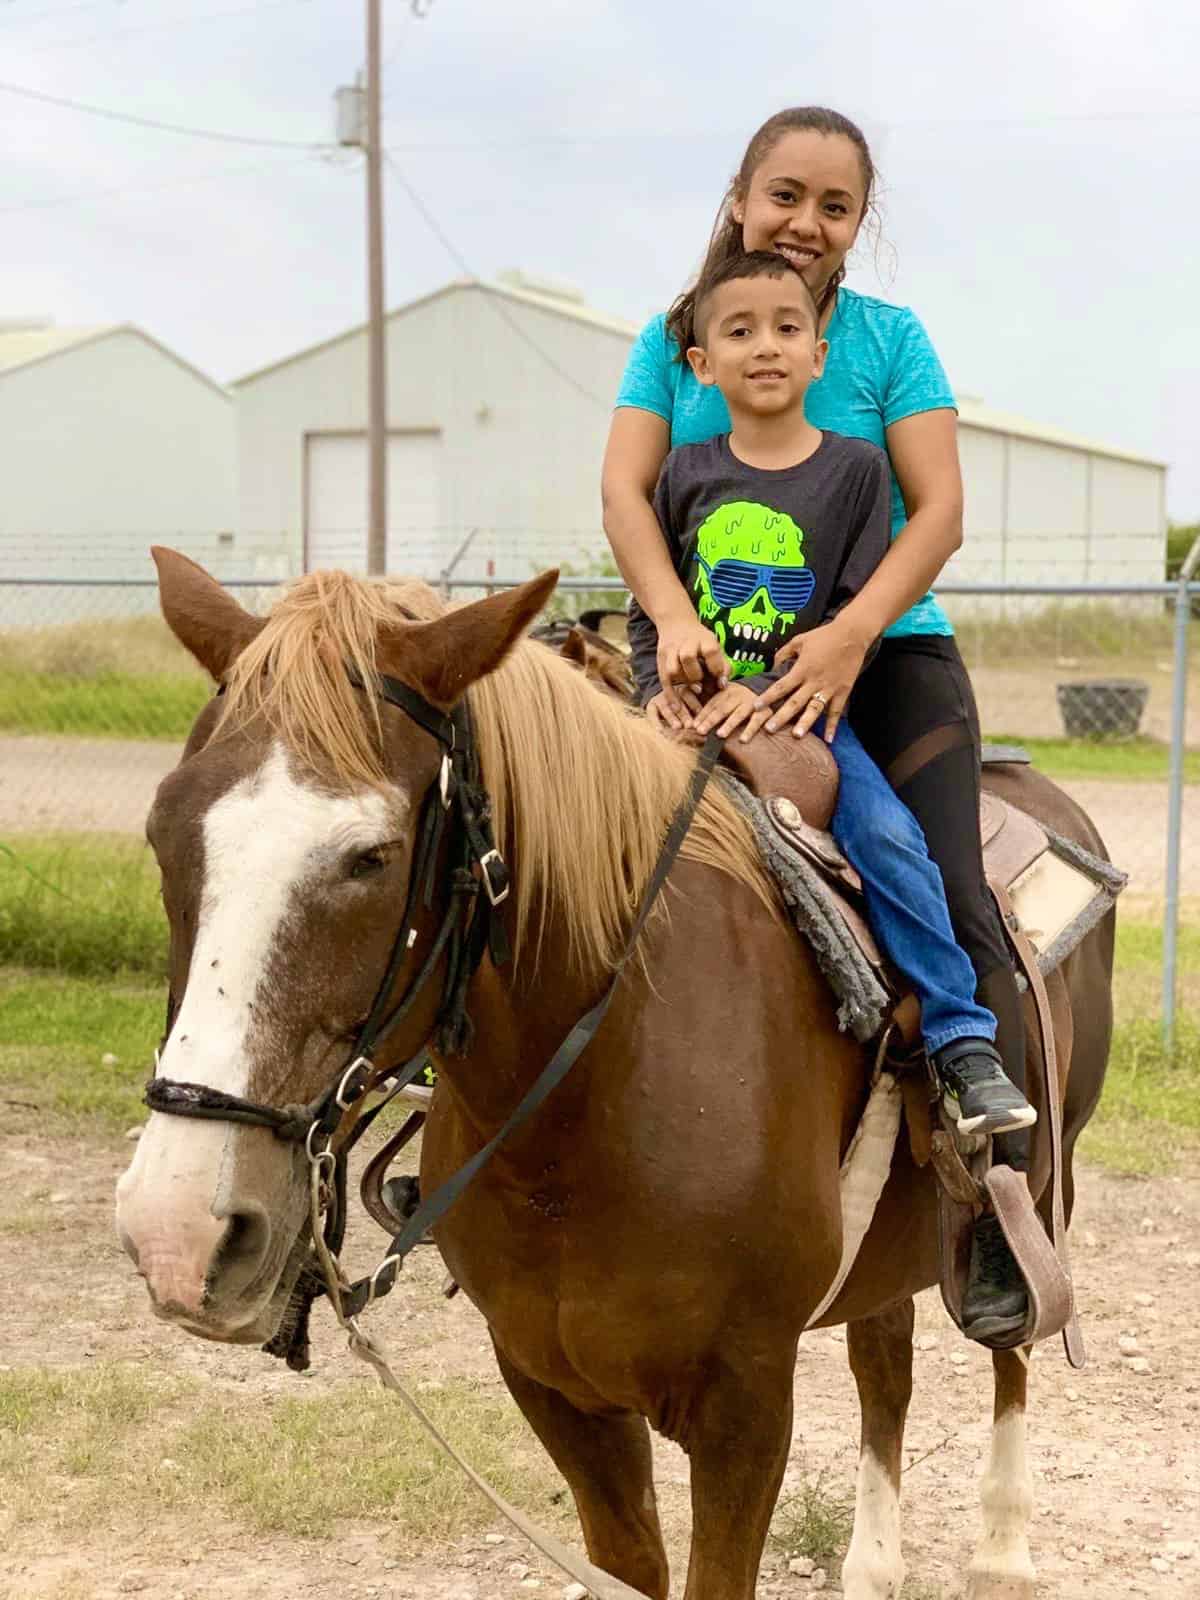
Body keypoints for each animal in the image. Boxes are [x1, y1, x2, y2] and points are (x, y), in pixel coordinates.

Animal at [117, 553, 1113, 1600]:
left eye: (371, 857)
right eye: (163, 832)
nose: (178, 1232)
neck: (584, 1117)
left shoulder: (746, 1403)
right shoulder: (553, 1385)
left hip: (1043, 1187)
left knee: (1014, 1339)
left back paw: (1002, 1545)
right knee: (886, 1361)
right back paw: (874, 1565)